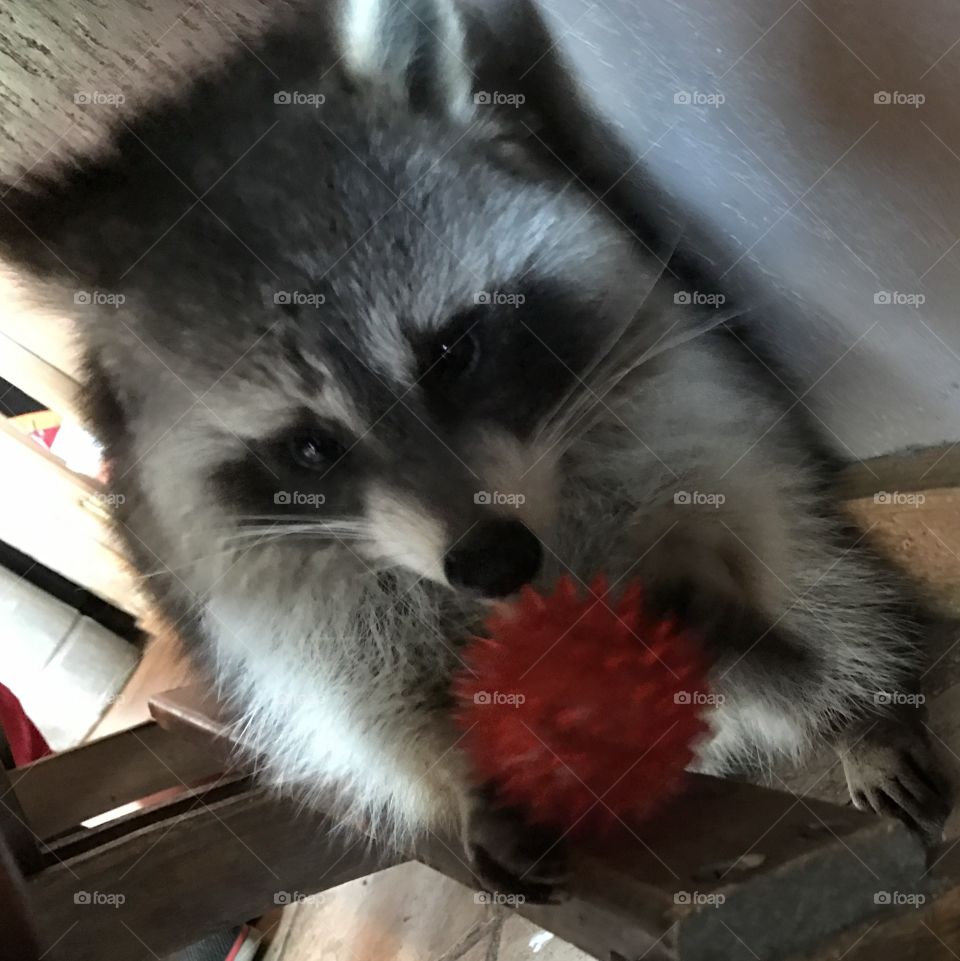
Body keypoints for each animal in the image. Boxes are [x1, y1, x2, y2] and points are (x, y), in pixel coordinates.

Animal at [0, 0, 950, 899]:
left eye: (451, 352)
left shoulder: (655, 376)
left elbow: (753, 514)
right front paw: (462, 771)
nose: (494, 558)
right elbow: (357, 689)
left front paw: (844, 702)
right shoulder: (239, 571)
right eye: (309, 447)